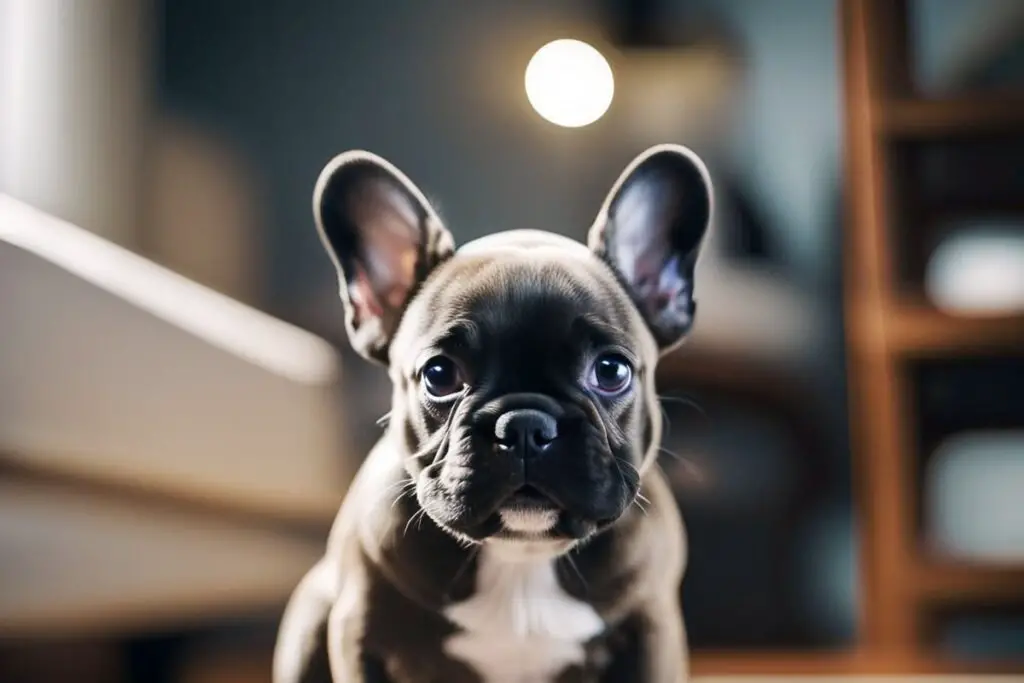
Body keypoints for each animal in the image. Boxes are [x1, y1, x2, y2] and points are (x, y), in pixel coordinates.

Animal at [274, 144, 712, 683]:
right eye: (439, 374)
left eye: (612, 370)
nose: (524, 425)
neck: (521, 556)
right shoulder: (359, 633)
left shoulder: (651, 630)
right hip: (312, 611)